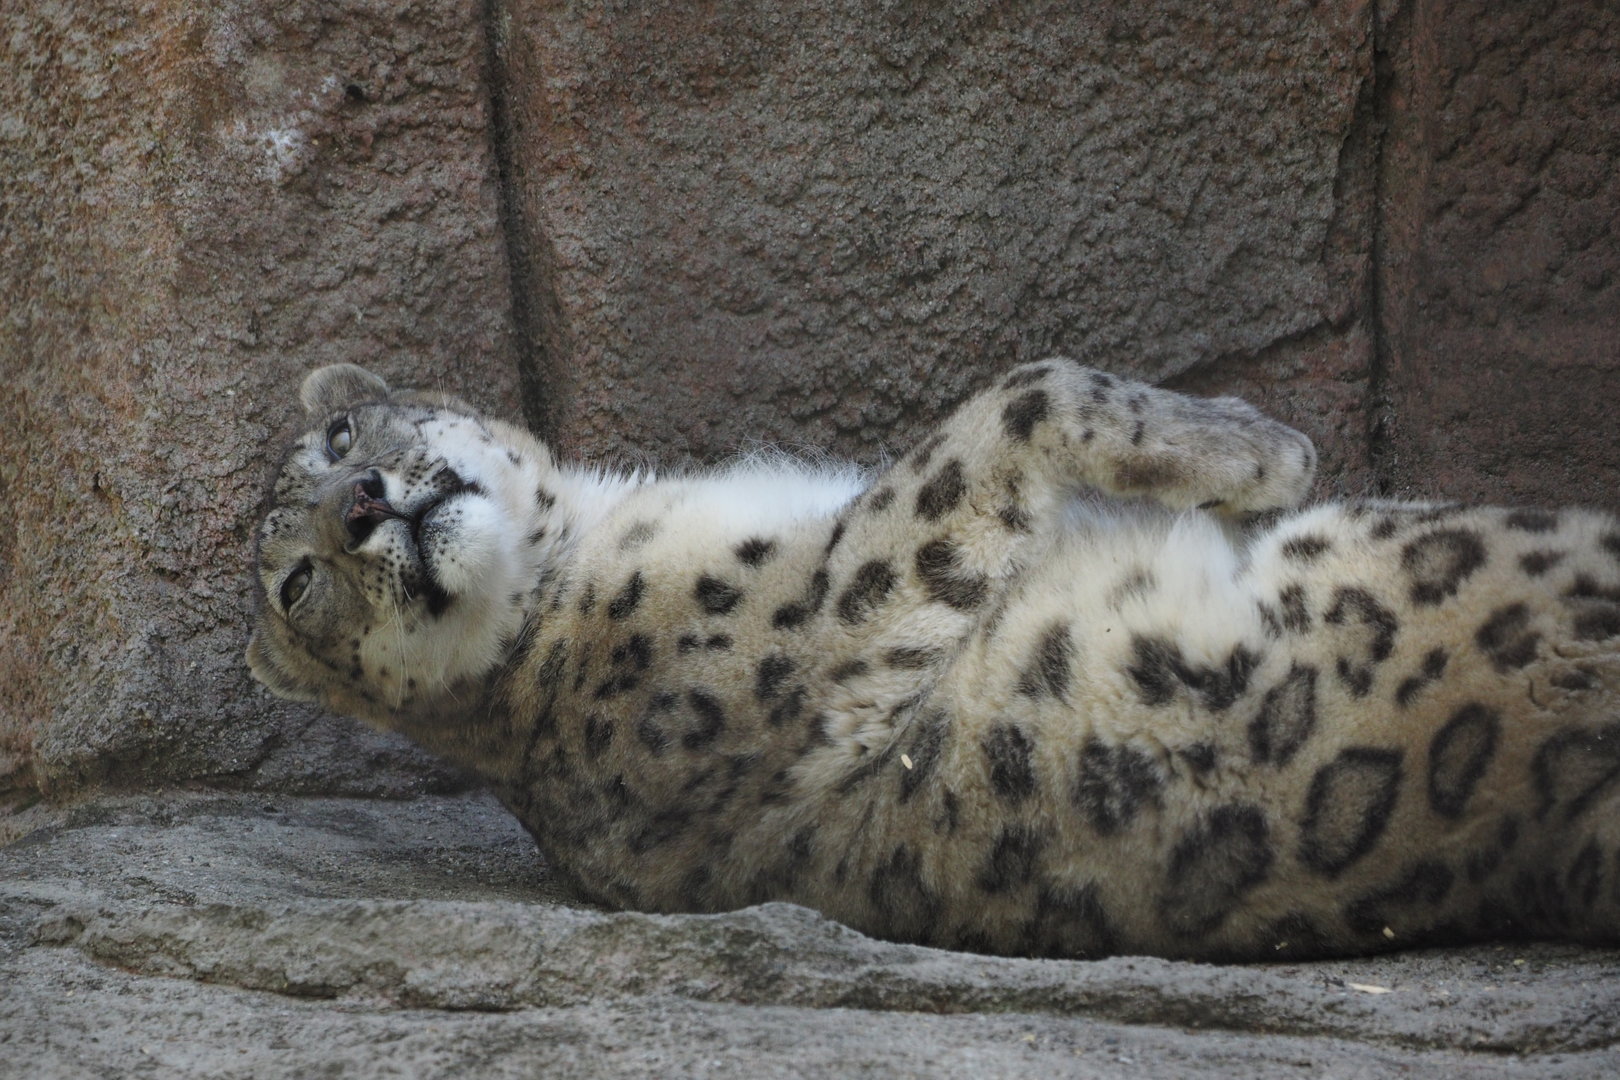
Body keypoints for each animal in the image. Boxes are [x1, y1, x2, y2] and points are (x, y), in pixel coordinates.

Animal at [248, 359, 1620, 960]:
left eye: (342, 431)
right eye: (296, 583)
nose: (360, 507)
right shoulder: (833, 602)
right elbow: (1023, 393)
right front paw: (1255, 446)